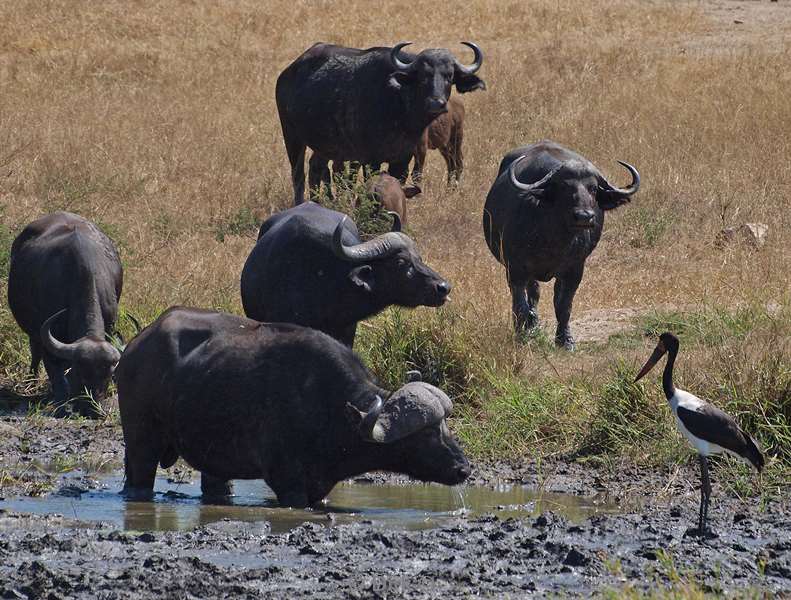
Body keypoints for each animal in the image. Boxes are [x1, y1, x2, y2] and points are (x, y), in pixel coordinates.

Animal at [6, 212, 124, 418]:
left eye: (108, 376)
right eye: (80, 374)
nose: (92, 410)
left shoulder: (109, 326)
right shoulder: (45, 333)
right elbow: (54, 371)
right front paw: (61, 402)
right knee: (35, 351)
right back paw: (31, 383)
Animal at [114, 308, 468, 508]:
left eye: (445, 426)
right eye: (426, 434)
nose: (463, 468)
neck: (333, 411)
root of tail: (133, 348)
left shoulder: (318, 486)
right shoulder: (287, 482)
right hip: (141, 443)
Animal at [278, 41, 488, 206]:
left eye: (449, 76)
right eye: (423, 76)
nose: (437, 103)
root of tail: (287, 73)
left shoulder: (404, 158)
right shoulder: (370, 159)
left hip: (325, 146)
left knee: (315, 168)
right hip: (292, 137)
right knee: (298, 175)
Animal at [482, 140, 644, 350]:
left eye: (593, 188)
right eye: (564, 187)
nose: (584, 216)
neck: (553, 239)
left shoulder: (574, 270)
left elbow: (563, 306)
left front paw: (565, 340)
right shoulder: (515, 268)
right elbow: (520, 305)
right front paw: (522, 334)